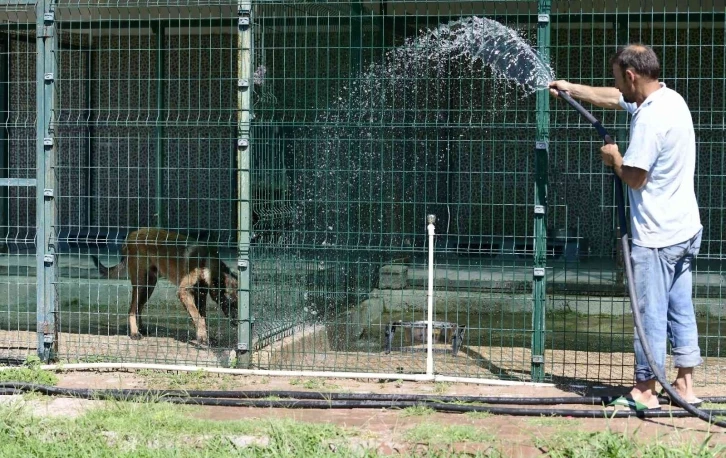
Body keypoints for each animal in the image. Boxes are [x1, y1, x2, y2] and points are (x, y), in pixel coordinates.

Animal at [90, 227, 239, 346]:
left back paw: (141, 329)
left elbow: (201, 316)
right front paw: (202, 338)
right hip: (141, 283)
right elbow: (198, 317)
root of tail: (132, 234)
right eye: (230, 302)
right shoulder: (184, 292)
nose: (238, 323)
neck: (206, 263)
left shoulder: (200, 295)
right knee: (132, 309)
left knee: (139, 307)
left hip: (149, 285)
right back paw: (134, 333)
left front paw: (203, 336)